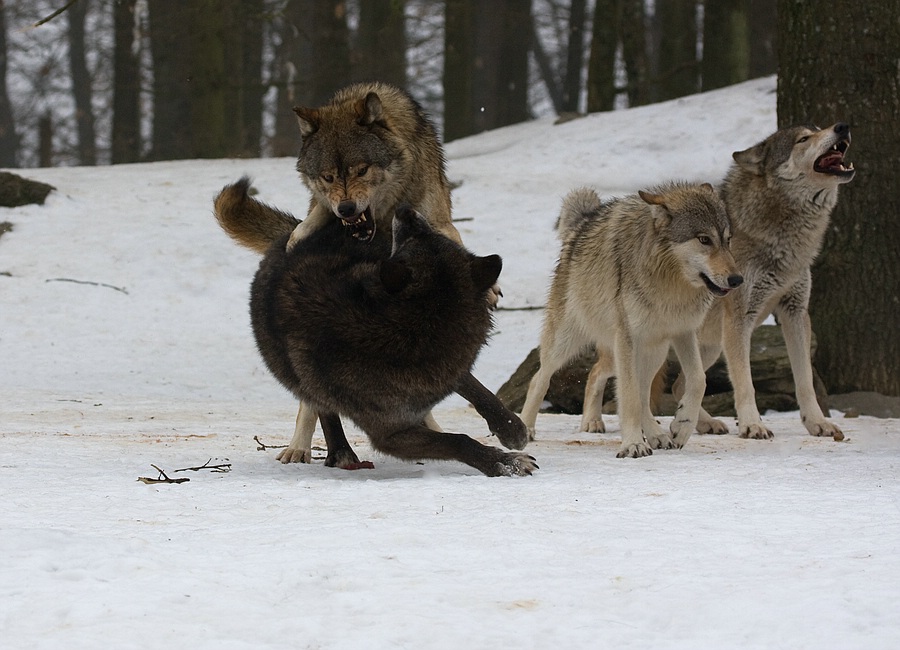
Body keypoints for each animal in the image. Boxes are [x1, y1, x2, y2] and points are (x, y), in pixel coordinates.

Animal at [248, 204, 536, 476]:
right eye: (413, 240)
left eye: (432, 237)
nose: (406, 211)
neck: (415, 328)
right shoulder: (390, 435)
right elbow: (458, 441)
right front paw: (504, 463)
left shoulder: (447, 371)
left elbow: (479, 391)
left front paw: (512, 429)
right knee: (320, 404)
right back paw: (341, 452)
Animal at [516, 182, 740, 456]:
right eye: (704, 239)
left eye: (727, 240)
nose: (737, 279)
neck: (671, 285)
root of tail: (582, 223)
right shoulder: (628, 338)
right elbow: (630, 398)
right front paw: (633, 444)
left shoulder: (683, 332)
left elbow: (698, 380)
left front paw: (682, 426)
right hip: (569, 344)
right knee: (540, 379)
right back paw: (527, 428)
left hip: (652, 352)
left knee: (603, 376)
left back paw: (646, 433)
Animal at [672, 120, 856, 440]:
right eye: (803, 139)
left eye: (818, 128)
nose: (842, 126)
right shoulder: (739, 320)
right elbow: (745, 383)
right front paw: (752, 424)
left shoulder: (795, 313)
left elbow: (805, 381)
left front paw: (817, 423)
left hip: (709, 345)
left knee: (680, 384)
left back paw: (702, 423)